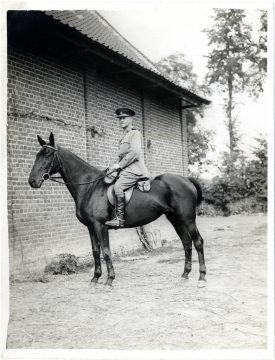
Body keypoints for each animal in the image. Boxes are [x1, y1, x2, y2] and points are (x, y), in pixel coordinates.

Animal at [28, 132, 207, 286]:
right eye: (37, 154)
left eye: (47, 155)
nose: (32, 181)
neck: (90, 187)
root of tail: (187, 180)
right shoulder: (90, 227)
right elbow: (95, 251)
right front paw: (95, 278)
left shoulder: (100, 226)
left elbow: (106, 251)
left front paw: (109, 280)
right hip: (175, 219)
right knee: (186, 242)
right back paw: (185, 274)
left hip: (187, 219)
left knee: (197, 241)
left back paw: (202, 277)